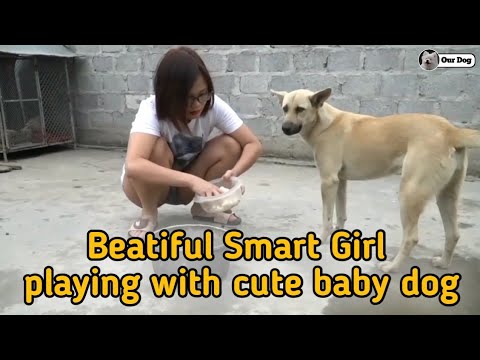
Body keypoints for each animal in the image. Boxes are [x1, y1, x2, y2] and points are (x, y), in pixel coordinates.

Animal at [270, 88, 480, 272]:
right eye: (285, 108)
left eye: (300, 109)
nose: (284, 128)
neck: (323, 123)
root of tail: (451, 130)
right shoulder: (340, 182)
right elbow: (341, 214)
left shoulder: (328, 181)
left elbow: (327, 218)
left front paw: (321, 239)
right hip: (446, 195)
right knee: (453, 233)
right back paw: (443, 263)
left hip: (409, 194)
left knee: (411, 237)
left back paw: (392, 267)